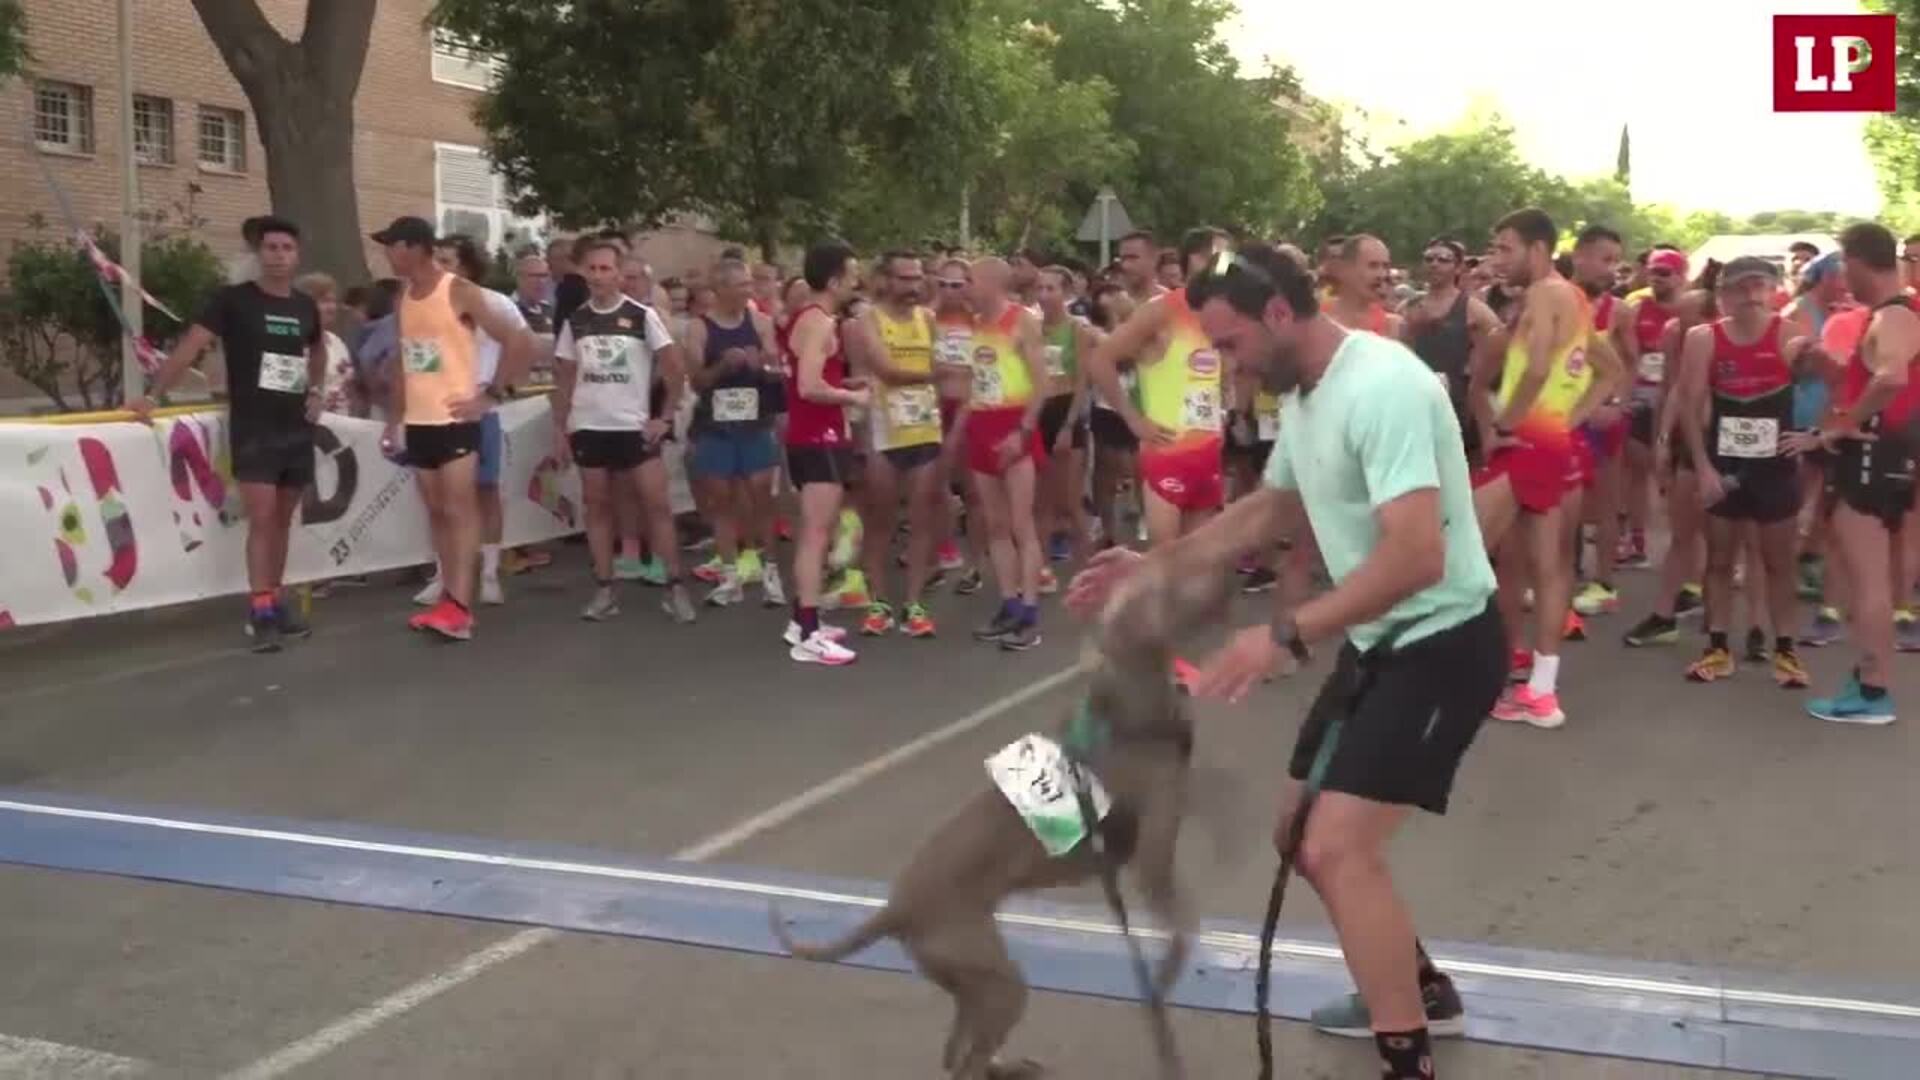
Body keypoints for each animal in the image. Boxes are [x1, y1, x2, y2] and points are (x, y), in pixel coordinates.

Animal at [768, 557, 1228, 1068]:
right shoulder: (1155, 845)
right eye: (1174, 586)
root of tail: (896, 908)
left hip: (969, 977)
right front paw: (1165, 983)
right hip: (997, 978)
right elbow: (1181, 920)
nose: (1226, 577)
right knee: (966, 1059)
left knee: (955, 1053)